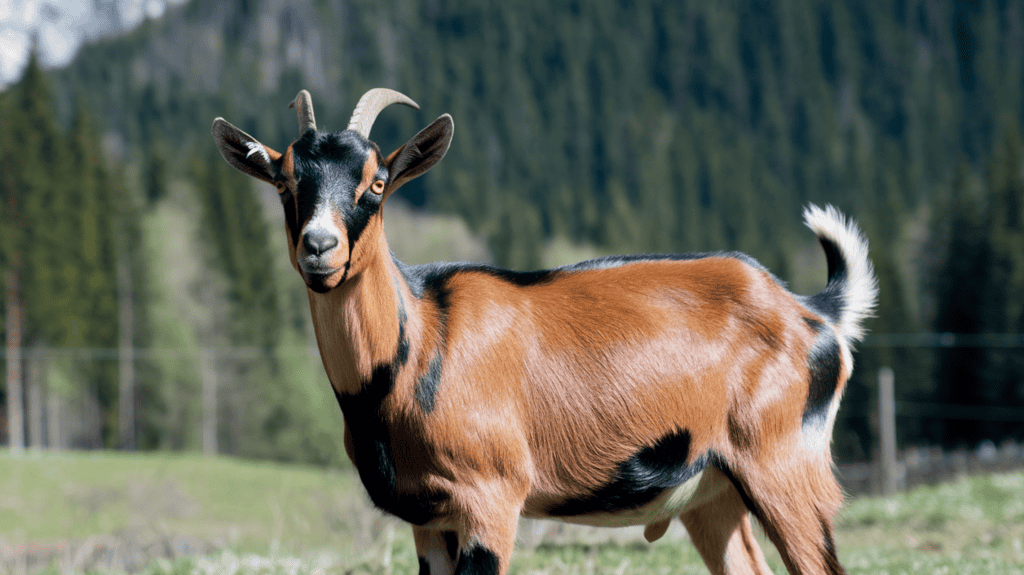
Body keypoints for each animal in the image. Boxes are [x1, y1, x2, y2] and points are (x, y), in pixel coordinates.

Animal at [212, 88, 877, 575]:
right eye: (284, 180)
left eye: (376, 182)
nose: (320, 247)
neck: (417, 343)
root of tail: (811, 310)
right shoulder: (428, 519)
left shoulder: (491, 499)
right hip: (714, 494)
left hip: (783, 466)